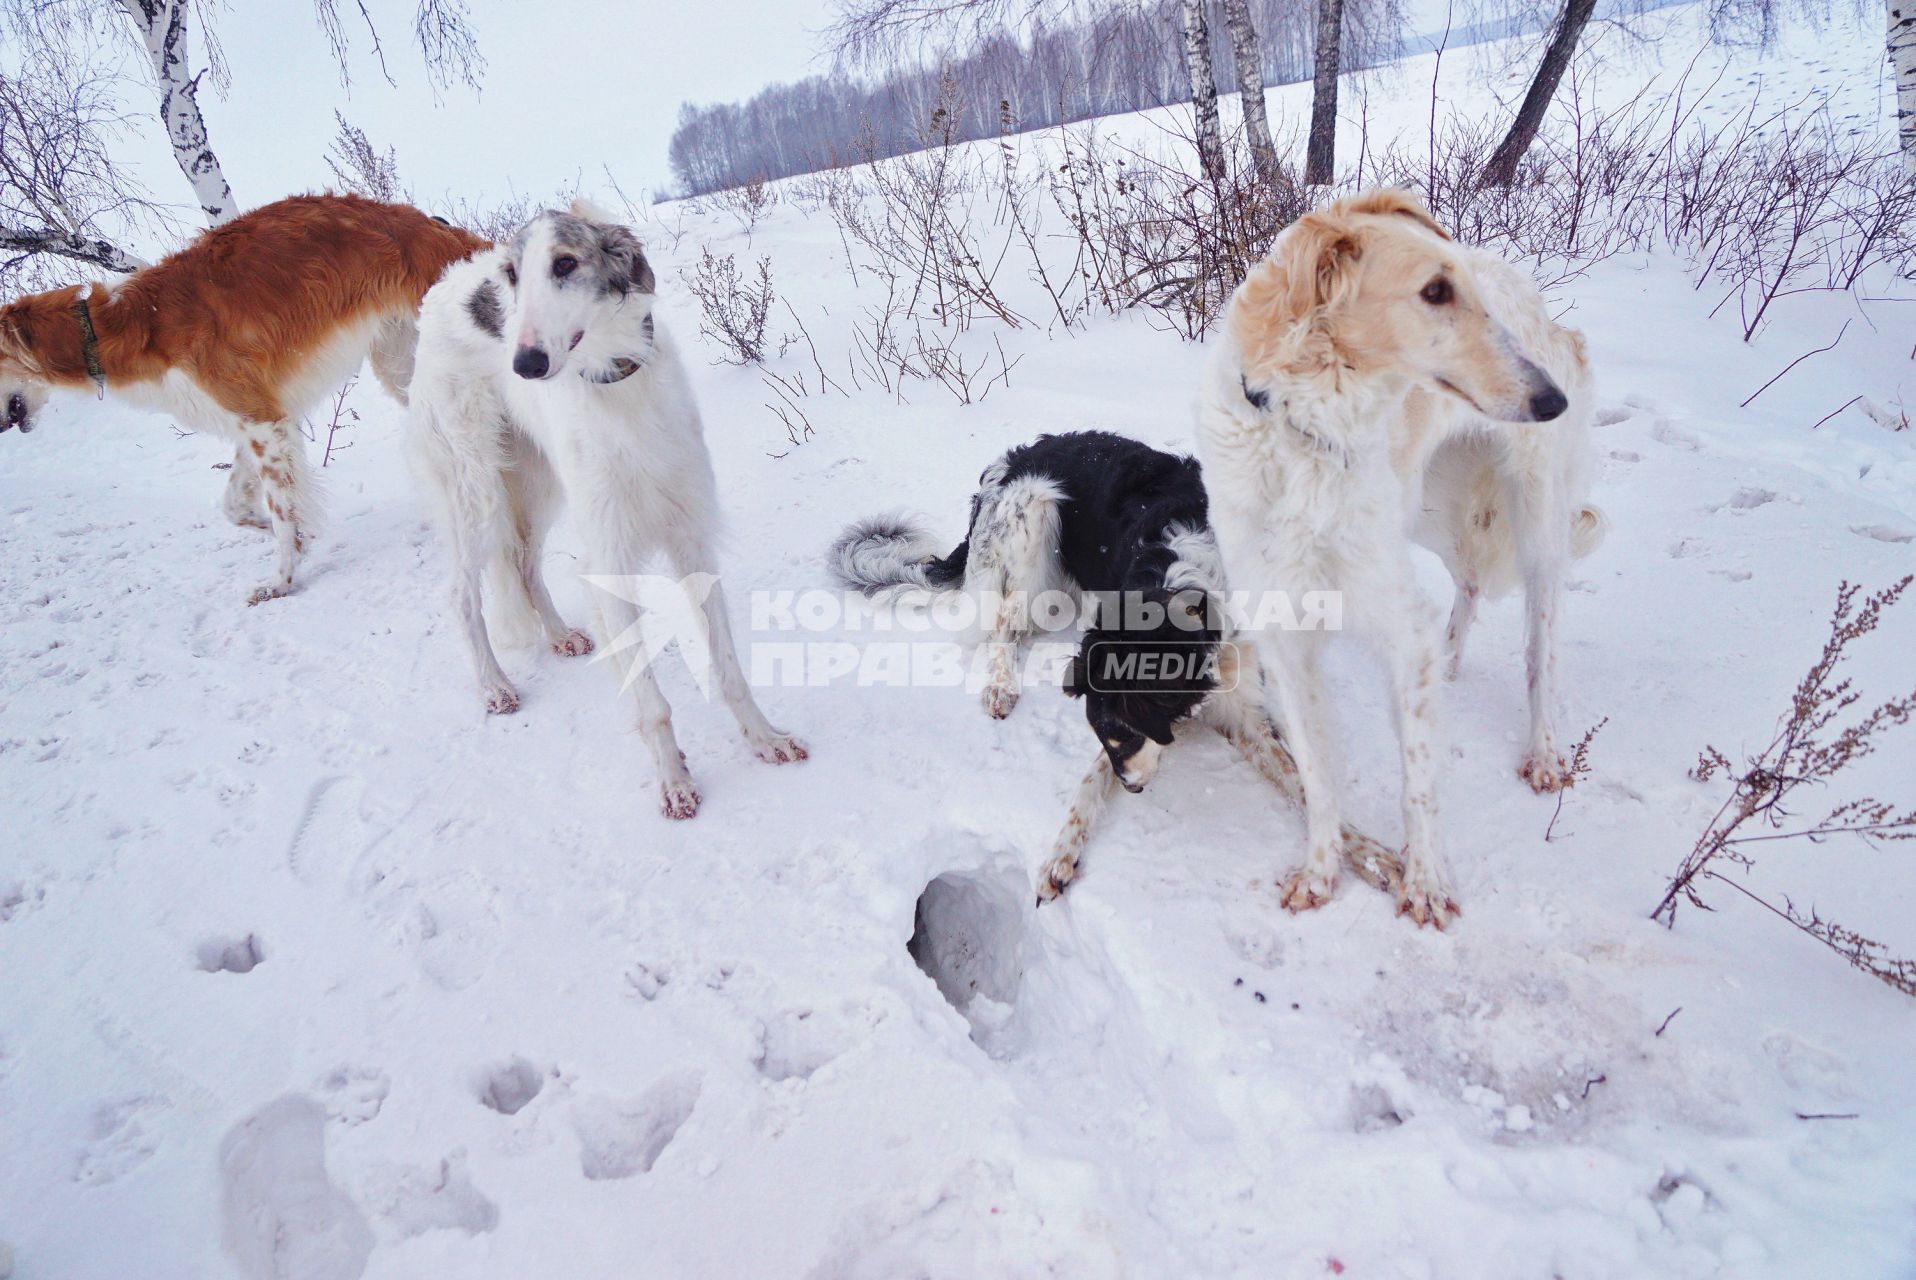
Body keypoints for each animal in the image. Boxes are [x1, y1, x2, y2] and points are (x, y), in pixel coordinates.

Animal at [408, 202, 804, 820]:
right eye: (513, 275)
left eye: (566, 263)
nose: (525, 363)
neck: (616, 384)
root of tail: (443, 287)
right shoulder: (611, 557)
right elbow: (652, 702)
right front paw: (673, 781)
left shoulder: (690, 537)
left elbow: (729, 669)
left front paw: (764, 739)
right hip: (477, 490)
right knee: (462, 594)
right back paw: (494, 685)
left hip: (539, 484)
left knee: (525, 565)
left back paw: (558, 635)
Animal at [831, 429, 1402, 900]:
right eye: (1106, 731)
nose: (1132, 788)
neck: (1181, 591)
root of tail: (1009, 460)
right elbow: (1089, 778)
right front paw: (1061, 853)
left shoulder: (1245, 708)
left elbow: (1305, 781)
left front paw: (1375, 858)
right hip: (1035, 516)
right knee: (1003, 628)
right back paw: (1000, 685)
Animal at [1195, 189, 1601, 923]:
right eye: (1434, 292)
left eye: (1467, 289)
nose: (1550, 399)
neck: (1307, 435)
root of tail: (1554, 323)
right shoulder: (1283, 631)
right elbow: (1317, 773)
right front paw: (1320, 872)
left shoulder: (1397, 624)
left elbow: (1418, 778)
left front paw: (1426, 884)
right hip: (1434, 513)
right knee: (1468, 583)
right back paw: (1454, 658)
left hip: (1536, 525)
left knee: (1541, 650)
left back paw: (1544, 751)